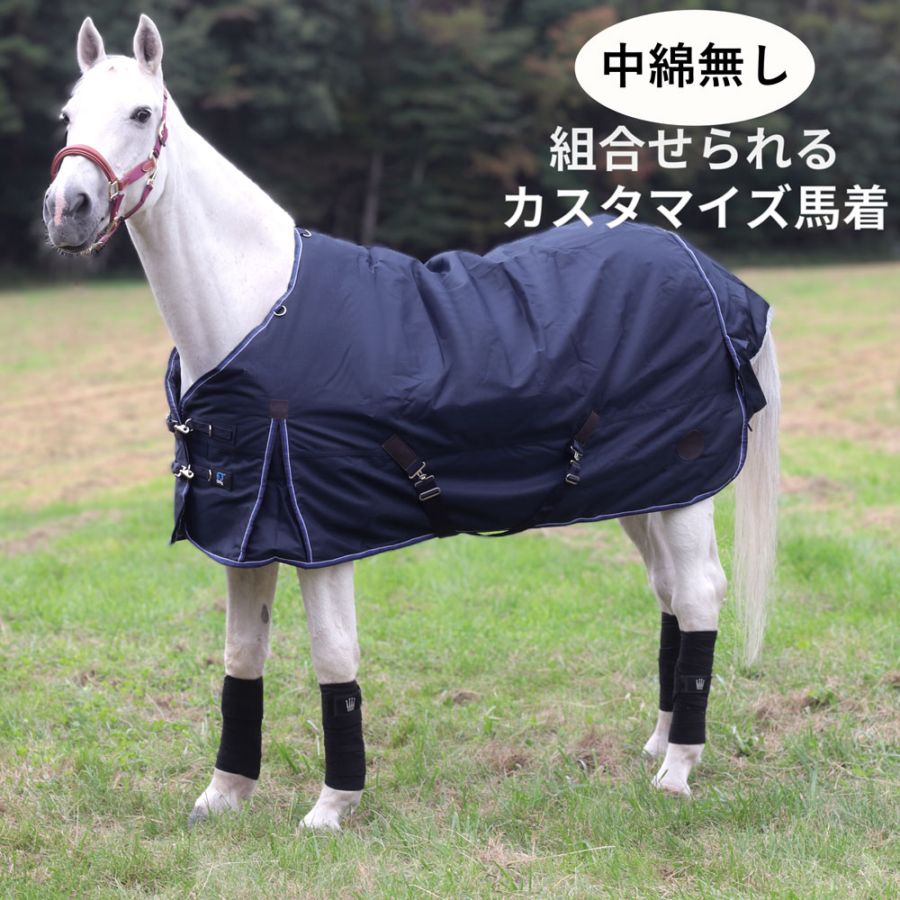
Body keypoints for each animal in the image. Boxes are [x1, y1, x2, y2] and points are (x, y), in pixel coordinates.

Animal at [43, 15, 781, 830]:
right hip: (643, 492)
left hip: (684, 490)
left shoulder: (319, 536)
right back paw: (658, 744)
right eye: (69, 116)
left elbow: (334, 657)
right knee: (669, 596)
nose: (68, 210)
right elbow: (242, 657)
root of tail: (712, 277)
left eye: (142, 114)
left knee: (699, 594)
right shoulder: (245, 532)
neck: (258, 312)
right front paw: (224, 794)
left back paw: (677, 771)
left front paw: (332, 807)